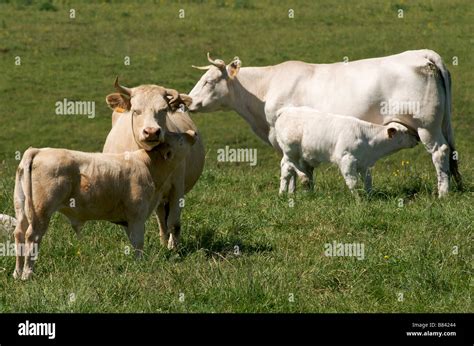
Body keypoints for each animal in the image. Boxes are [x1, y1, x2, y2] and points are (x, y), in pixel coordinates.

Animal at [12, 131, 197, 280]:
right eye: (180, 139)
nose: (193, 133)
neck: (148, 165)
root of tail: (39, 150)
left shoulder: (128, 219)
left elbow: (133, 240)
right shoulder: (137, 215)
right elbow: (138, 242)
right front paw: (140, 264)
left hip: (22, 208)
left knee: (19, 233)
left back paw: (17, 273)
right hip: (41, 211)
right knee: (32, 237)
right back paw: (27, 274)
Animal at [104, 79, 205, 250]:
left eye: (163, 110)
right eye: (136, 111)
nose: (151, 131)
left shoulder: (177, 187)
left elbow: (174, 222)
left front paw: (174, 249)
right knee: (160, 218)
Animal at [276, 106, 420, 195]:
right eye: (405, 131)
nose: (417, 138)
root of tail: (287, 110)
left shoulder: (364, 164)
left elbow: (368, 181)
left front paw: (370, 196)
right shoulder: (346, 160)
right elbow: (352, 182)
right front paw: (358, 201)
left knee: (287, 169)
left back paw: (286, 193)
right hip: (290, 149)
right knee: (290, 165)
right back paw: (302, 179)